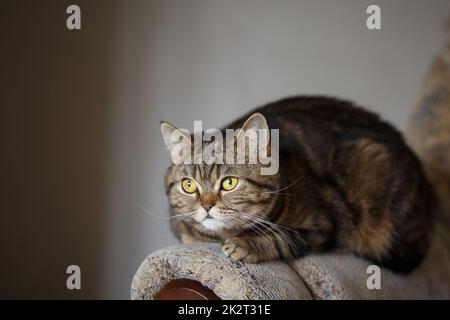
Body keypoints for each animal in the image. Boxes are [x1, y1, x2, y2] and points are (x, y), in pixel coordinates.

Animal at [160, 96, 434, 274]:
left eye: (229, 183)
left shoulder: (322, 224)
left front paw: (246, 244)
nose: (206, 206)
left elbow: (280, 237)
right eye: (188, 185)